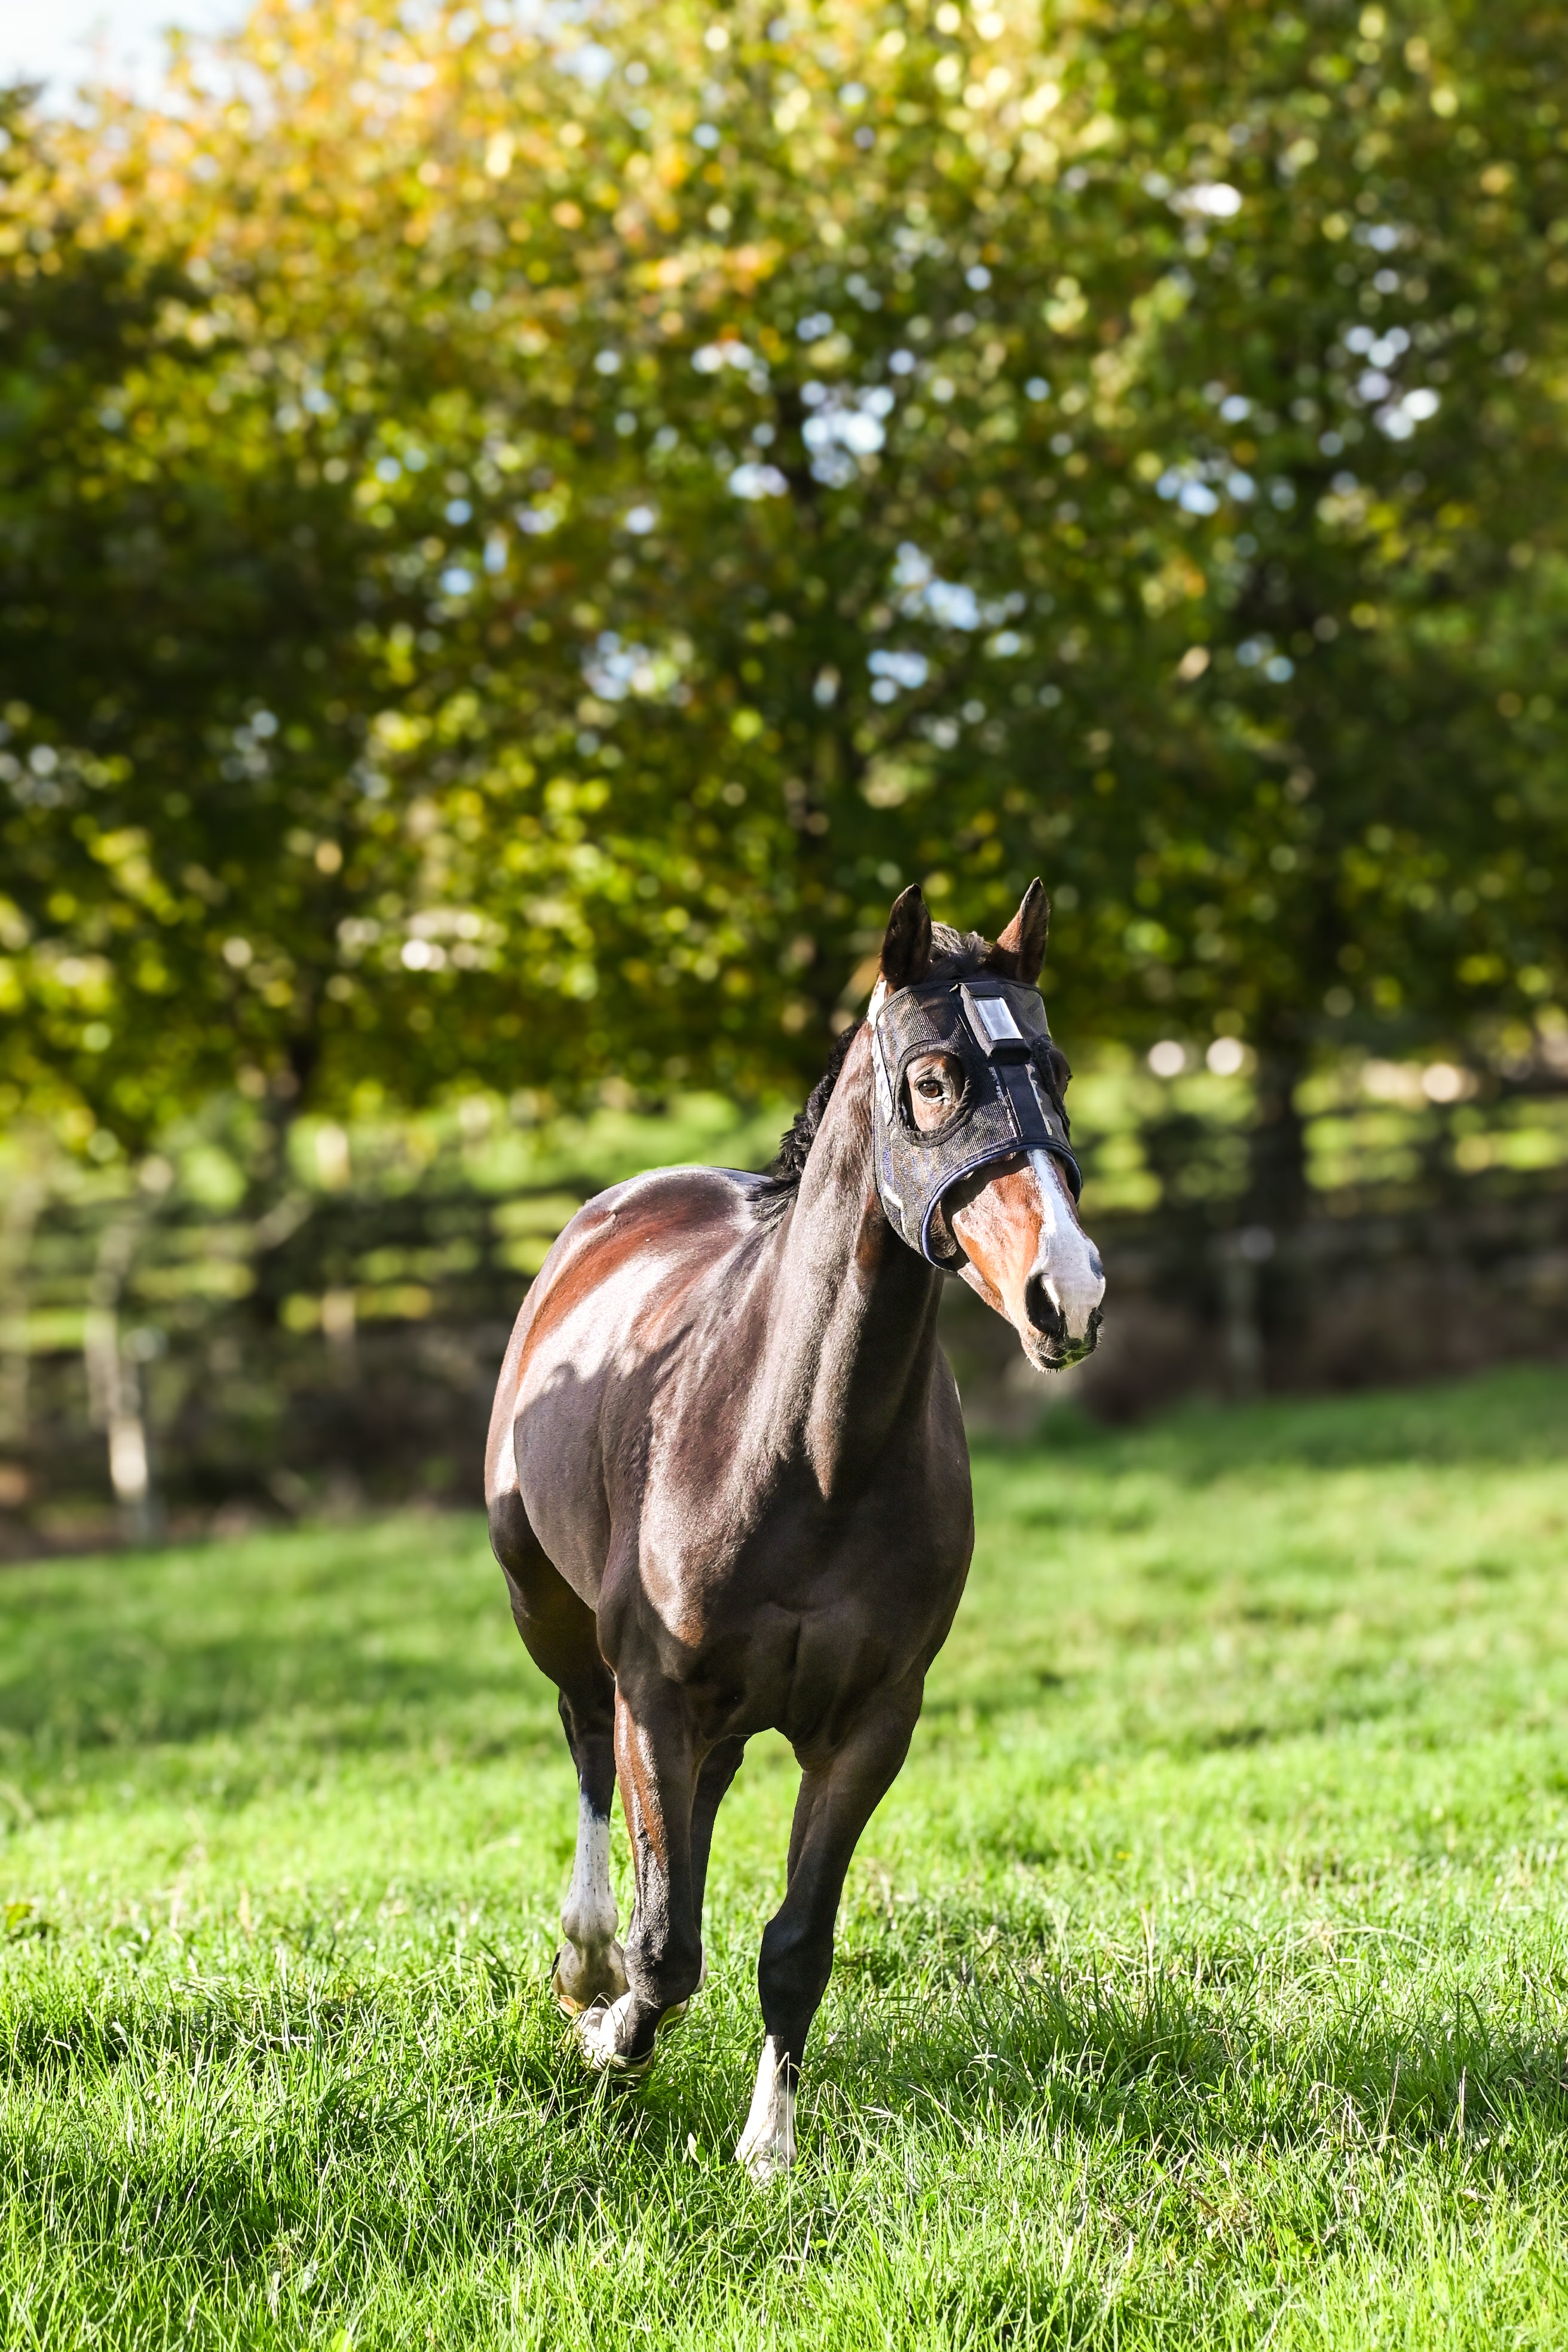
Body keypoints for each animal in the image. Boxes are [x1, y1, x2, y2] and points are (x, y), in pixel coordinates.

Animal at [484, 884, 1109, 2182]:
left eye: (1059, 1068)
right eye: (932, 1080)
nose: (1065, 1294)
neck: (807, 1454)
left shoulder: (870, 1724)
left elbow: (794, 1942)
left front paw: (765, 2146)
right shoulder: (656, 1693)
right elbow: (667, 1946)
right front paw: (612, 2040)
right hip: (551, 1620)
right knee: (586, 1754)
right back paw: (583, 1966)